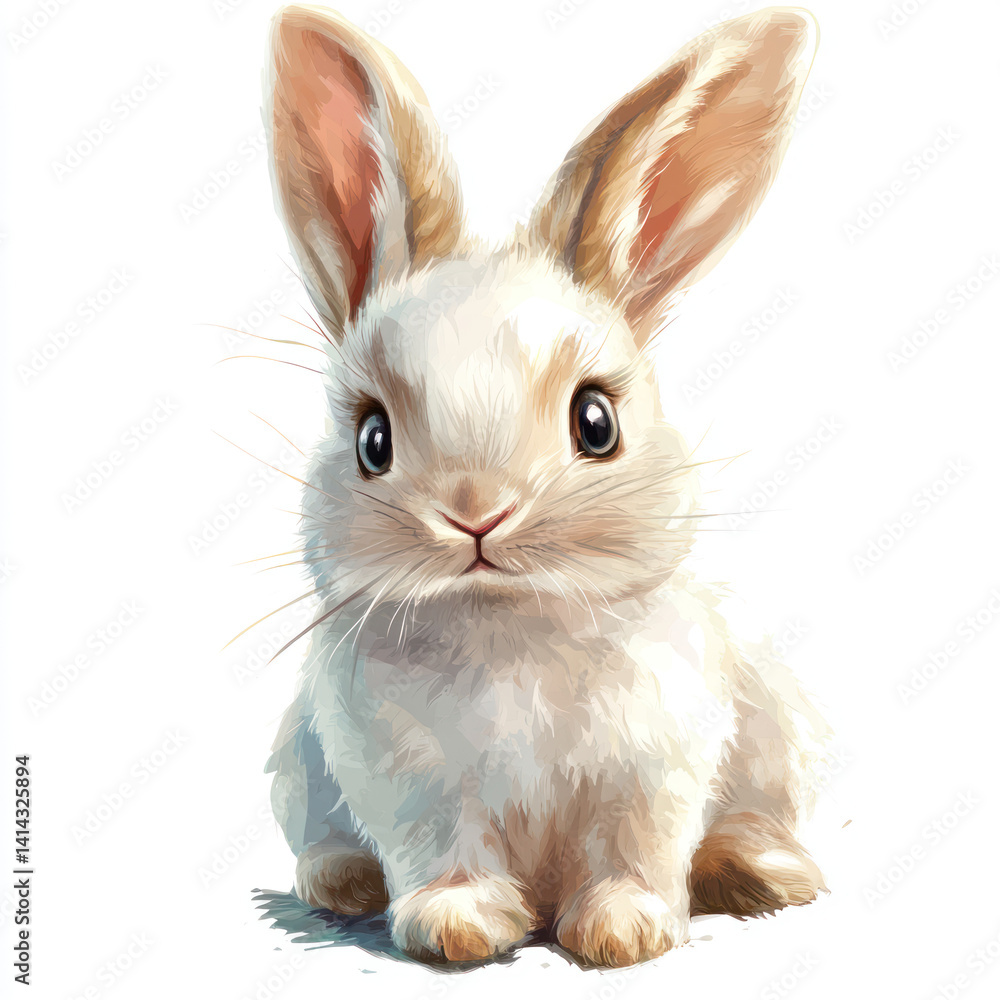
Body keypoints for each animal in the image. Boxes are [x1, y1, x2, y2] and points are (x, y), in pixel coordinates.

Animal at [263, 3, 831, 968]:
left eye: (596, 422)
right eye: (372, 439)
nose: (475, 514)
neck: (509, 629)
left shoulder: (656, 768)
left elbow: (635, 849)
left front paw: (624, 933)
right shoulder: (409, 784)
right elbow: (442, 851)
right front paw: (455, 926)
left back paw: (761, 872)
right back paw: (343, 882)